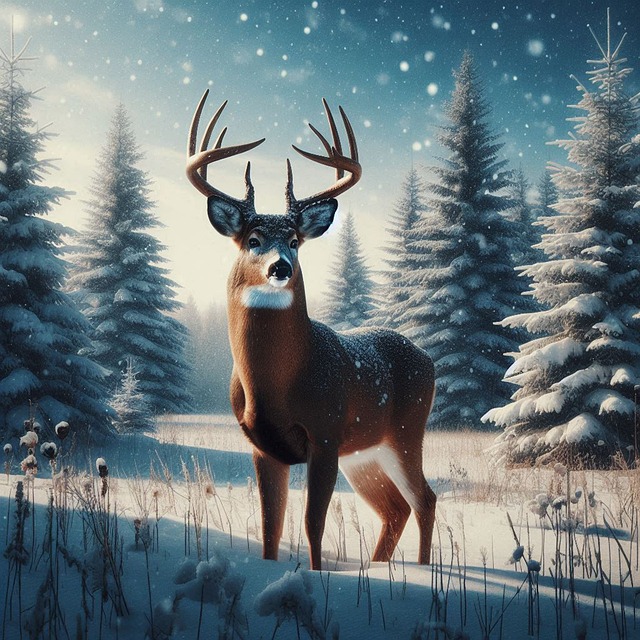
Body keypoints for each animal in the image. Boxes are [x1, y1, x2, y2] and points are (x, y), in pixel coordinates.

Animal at [186, 90, 437, 570]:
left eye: (295, 241)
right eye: (253, 240)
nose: (280, 267)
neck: (276, 384)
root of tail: (427, 357)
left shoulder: (324, 434)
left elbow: (311, 525)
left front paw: (319, 575)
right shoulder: (264, 447)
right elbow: (271, 527)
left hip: (404, 433)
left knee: (424, 500)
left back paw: (421, 570)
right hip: (364, 452)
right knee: (395, 509)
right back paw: (380, 567)